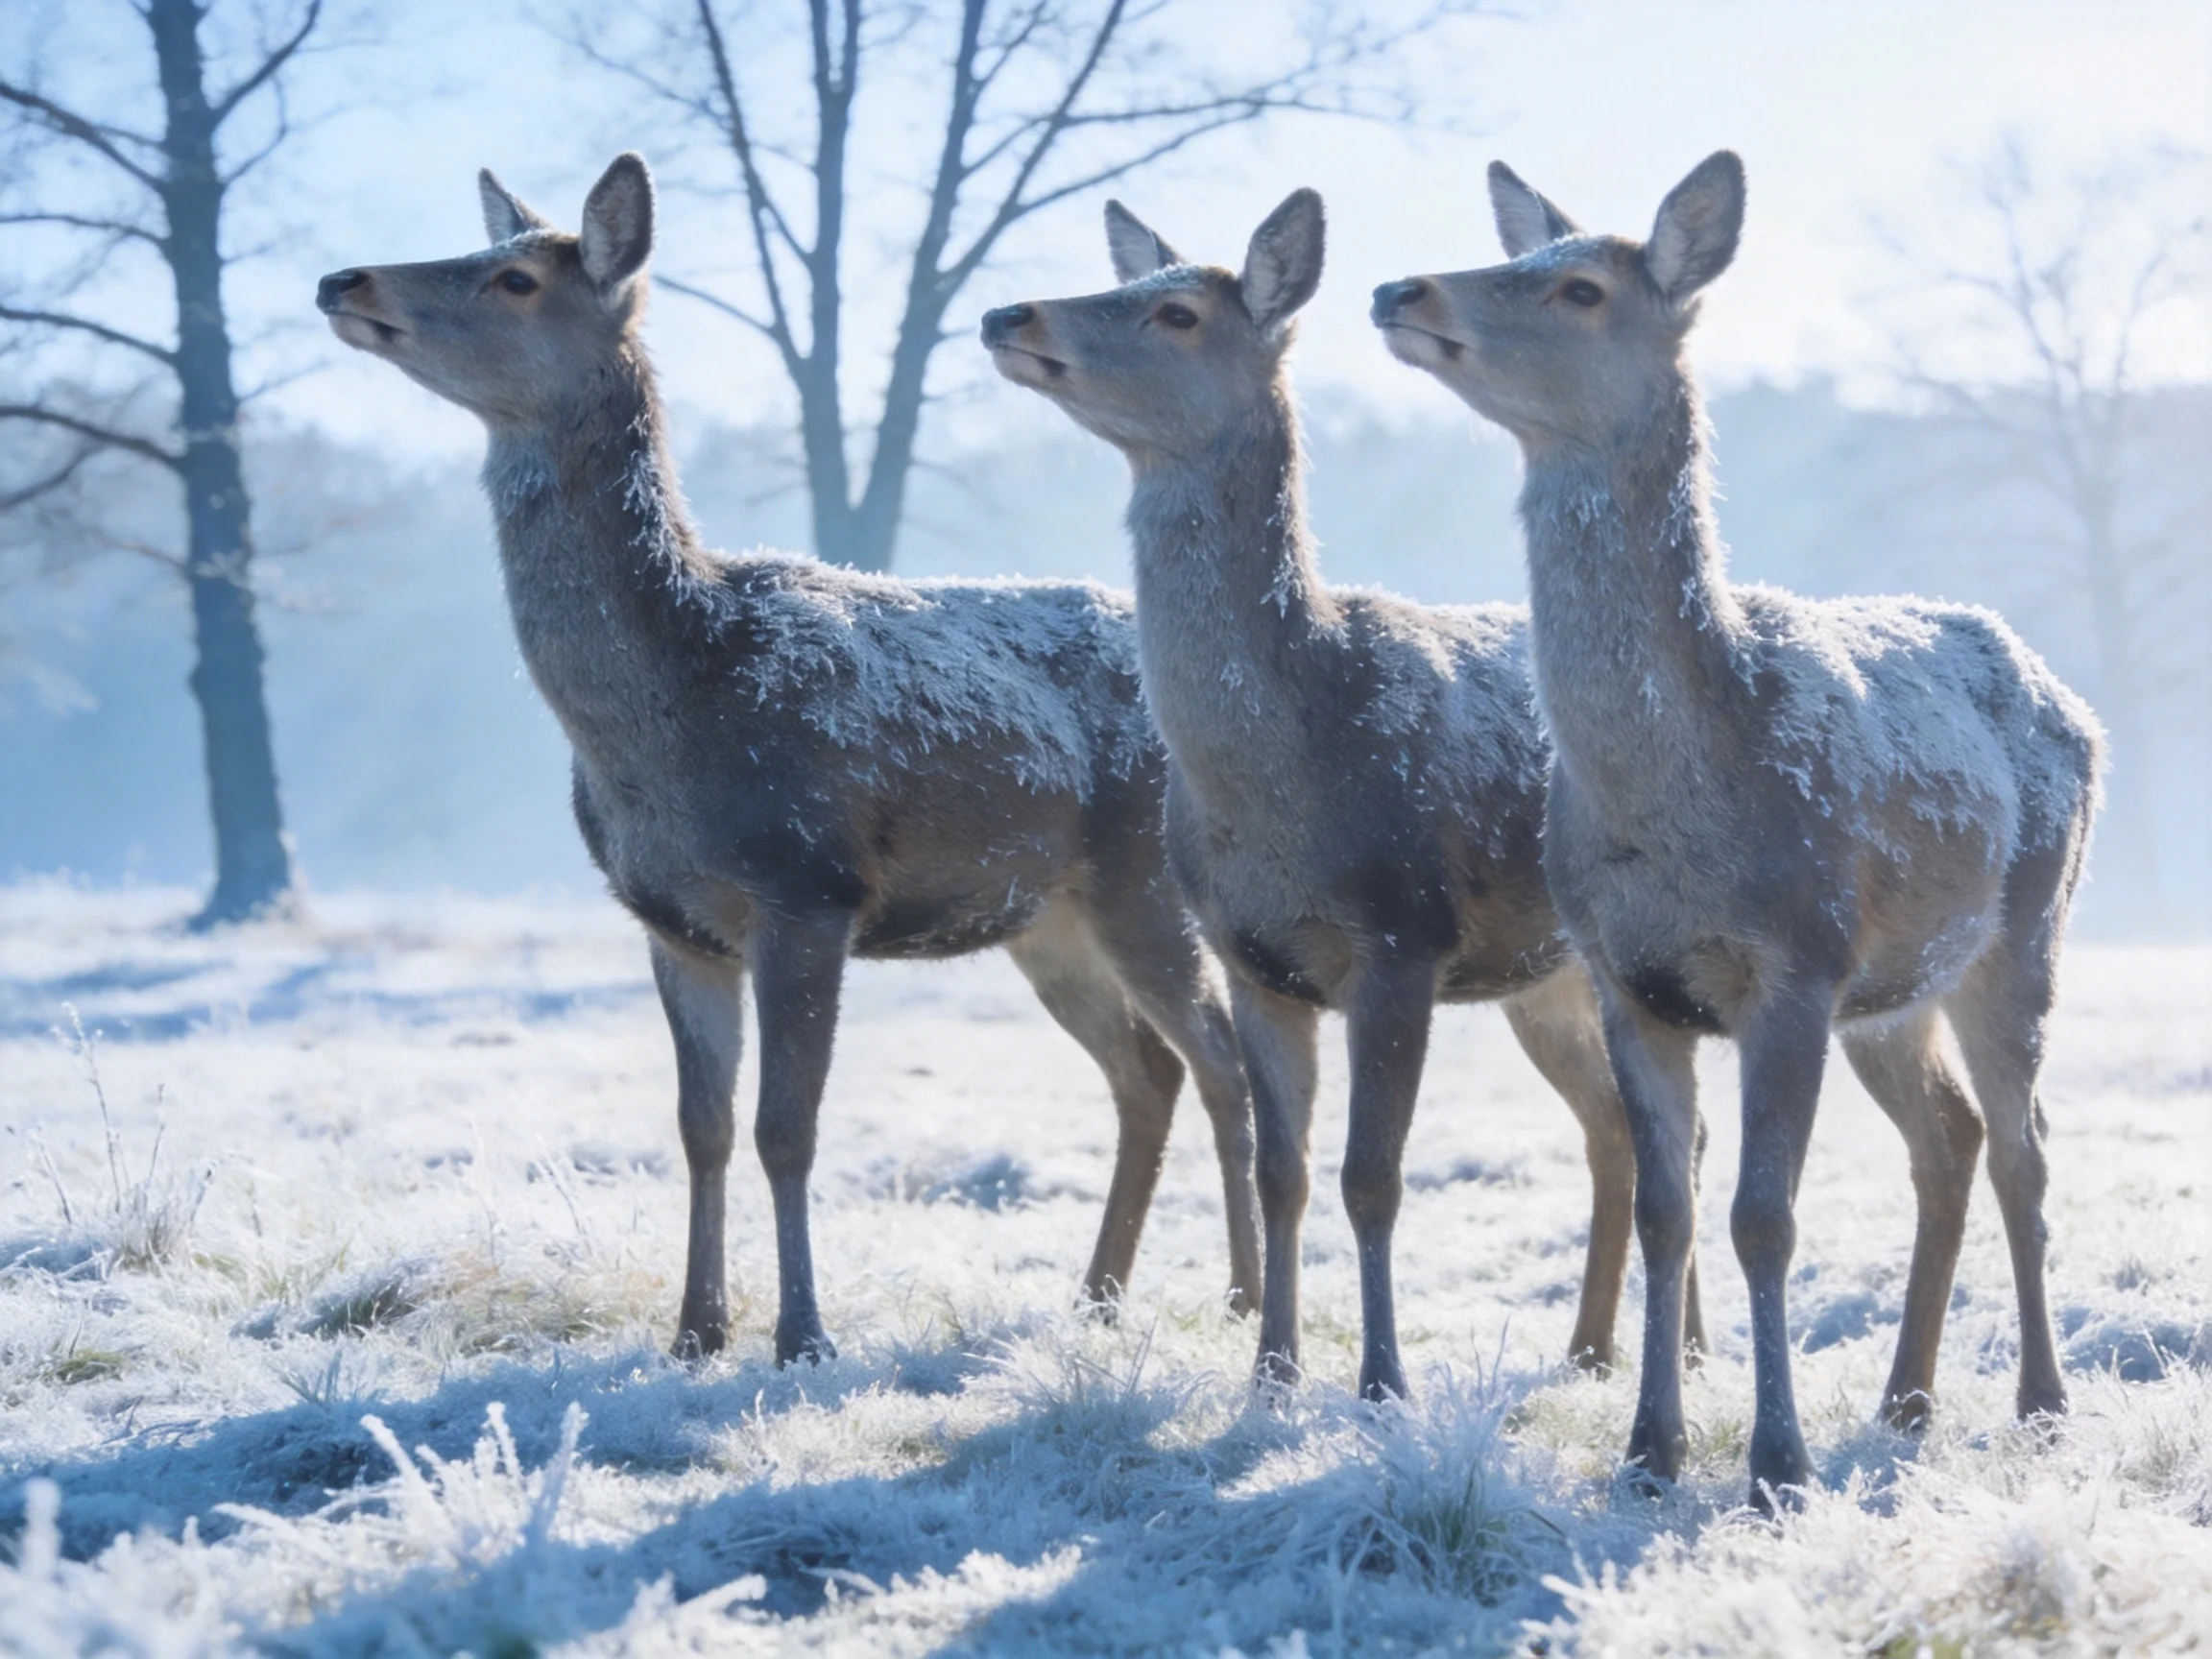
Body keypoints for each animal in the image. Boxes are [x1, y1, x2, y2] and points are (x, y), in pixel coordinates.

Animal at [316, 152, 1265, 1366]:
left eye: (516, 278)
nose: (343, 279)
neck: (673, 709)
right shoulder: (672, 919)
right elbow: (702, 1127)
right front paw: (696, 1331)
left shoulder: (809, 883)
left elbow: (787, 1126)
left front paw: (803, 1335)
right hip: (1043, 916)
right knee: (1146, 1073)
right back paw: (1095, 1297)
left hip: (1143, 878)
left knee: (1220, 1063)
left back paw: (1240, 1297)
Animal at [982, 189, 1708, 1403]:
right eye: (1134, 280)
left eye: (1176, 311)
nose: (1006, 312)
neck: (1289, 776)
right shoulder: (1251, 956)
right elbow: (1285, 1170)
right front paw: (1271, 1370)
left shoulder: (1402, 933)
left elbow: (1373, 1176)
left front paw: (1380, 1383)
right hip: (1546, 979)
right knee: (1618, 1131)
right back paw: (1594, 1350)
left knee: (1667, 1137)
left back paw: (1681, 1350)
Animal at [1372, 151, 2103, 1503]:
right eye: (1519, 252)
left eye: (1581, 286)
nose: (1401, 287)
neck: (1678, 808)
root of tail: (2064, 693)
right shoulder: (1626, 977)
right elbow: (1667, 1208)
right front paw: (1649, 1452)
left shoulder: (1796, 960)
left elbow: (1765, 1216)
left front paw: (1777, 1465)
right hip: (1895, 990)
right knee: (1951, 1137)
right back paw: (1907, 1400)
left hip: (2027, 928)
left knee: (2025, 1143)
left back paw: (2039, 1403)